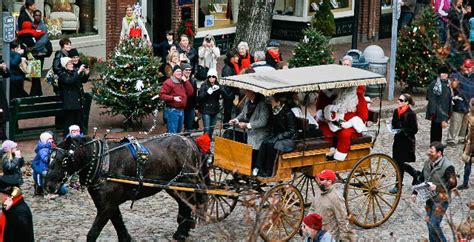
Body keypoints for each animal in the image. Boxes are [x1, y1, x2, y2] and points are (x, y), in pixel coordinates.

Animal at [44, 135, 207, 241]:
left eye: (64, 160)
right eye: (48, 158)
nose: (48, 185)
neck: (103, 163)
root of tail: (189, 141)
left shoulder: (107, 206)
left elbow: (93, 233)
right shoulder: (107, 204)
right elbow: (118, 221)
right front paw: (126, 238)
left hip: (185, 183)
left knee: (188, 204)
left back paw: (181, 233)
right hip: (173, 186)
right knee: (185, 205)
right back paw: (183, 229)